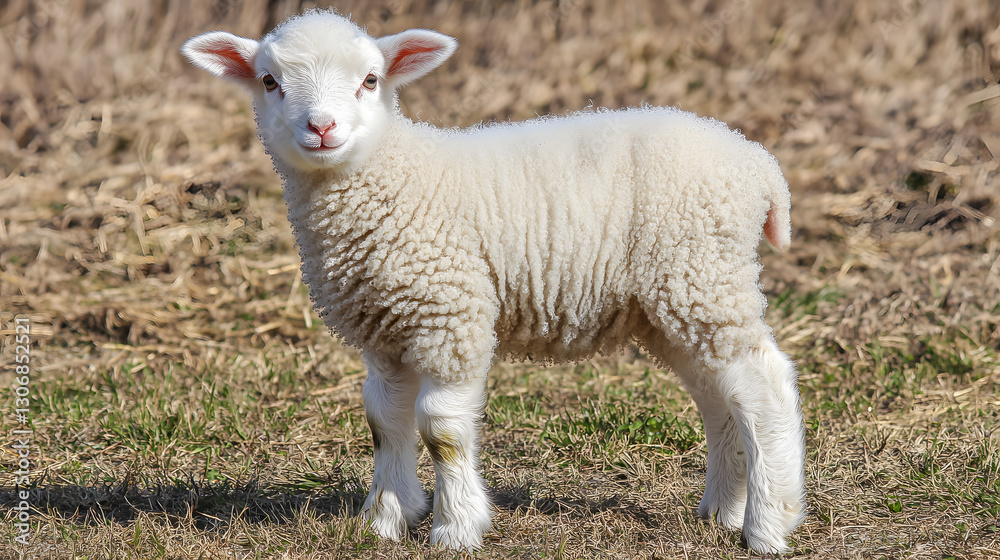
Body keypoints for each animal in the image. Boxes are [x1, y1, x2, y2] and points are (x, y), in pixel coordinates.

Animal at [181, 9, 806, 554]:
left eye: (370, 80)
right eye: (269, 81)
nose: (321, 127)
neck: (392, 176)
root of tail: (759, 164)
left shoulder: (450, 315)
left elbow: (441, 430)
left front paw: (455, 529)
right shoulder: (386, 328)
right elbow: (383, 420)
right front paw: (385, 520)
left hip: (701, 276)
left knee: (764, 387)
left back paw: (768, 526)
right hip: (676, 300)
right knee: (719, 397)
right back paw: (723, 511)